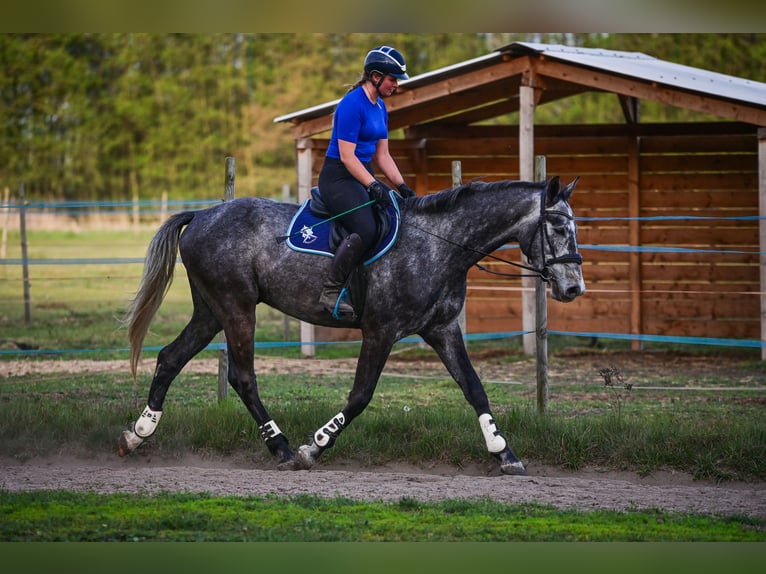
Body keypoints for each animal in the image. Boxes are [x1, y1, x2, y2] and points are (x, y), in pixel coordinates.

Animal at [118, 176, 585, 475]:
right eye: (558, 226)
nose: (574, 287)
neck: (438, 245)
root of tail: (201, 215)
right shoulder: (381, 330)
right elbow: (361, 395)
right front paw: (315, 446)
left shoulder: (443, 330)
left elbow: (475, 388)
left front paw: (503, 452)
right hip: (237, 308)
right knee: (242, 376)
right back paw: (282, 448)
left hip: (211, 311)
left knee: (170, 358)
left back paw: (139, 434)